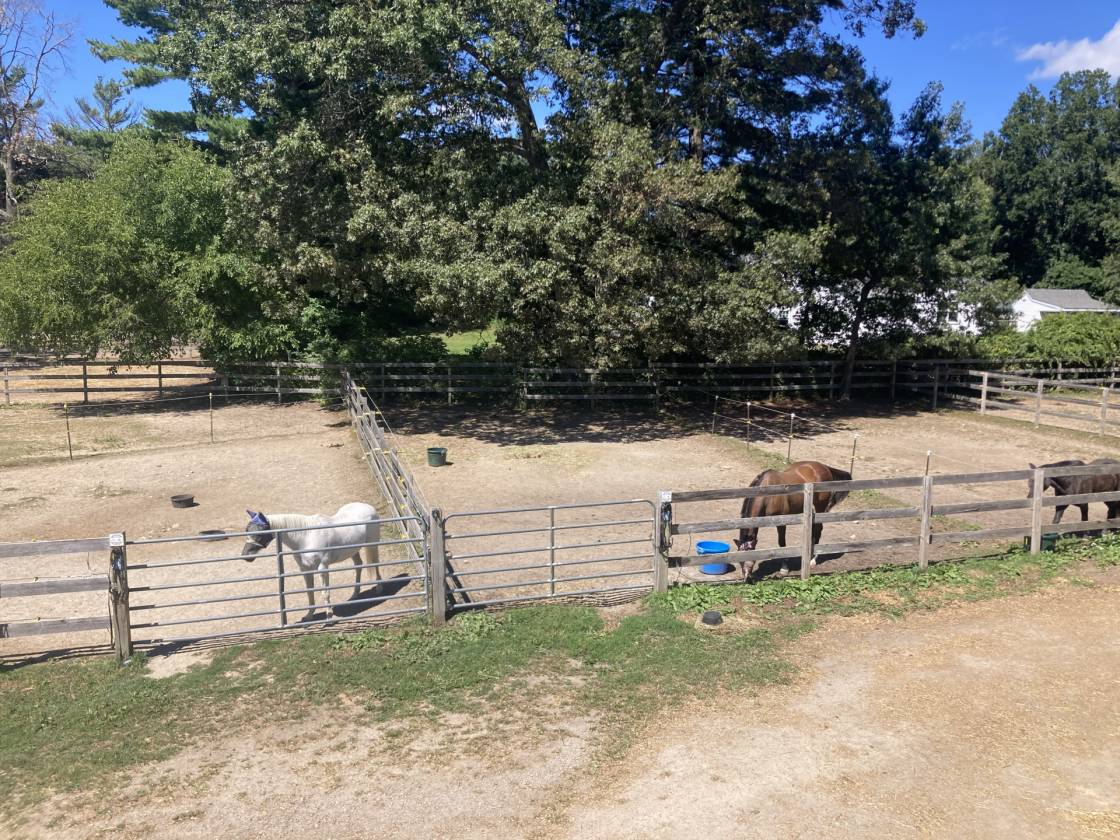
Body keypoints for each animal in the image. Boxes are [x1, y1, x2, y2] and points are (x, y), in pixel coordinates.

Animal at [241, 502, 381, 622]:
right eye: (247, 530)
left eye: (260, 533)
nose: (245, 556)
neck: (306, 537)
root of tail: (369, 507)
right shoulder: (305, 569)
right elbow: (310, 592)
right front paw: (309, 616)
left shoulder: (323, 568)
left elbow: (325, 592)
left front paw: (329, 617)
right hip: (353, 550)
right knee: (358, 565)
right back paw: (354, 594)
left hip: (372, 545)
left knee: (375, 563)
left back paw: (379, 589)